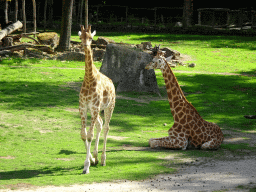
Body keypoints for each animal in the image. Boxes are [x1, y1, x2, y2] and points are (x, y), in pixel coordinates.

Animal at [77, 25, 115, 174]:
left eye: (91, 38)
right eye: (80, 37)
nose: (85, 46)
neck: (89, 79)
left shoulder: (93, 108)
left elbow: (89, 135)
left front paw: (86, 166)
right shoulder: (83, 107)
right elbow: (84, 135)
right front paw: (91, 160)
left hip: (109, 107)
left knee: (106, 127)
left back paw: (103, 159)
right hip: (99, 110)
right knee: (100, 124)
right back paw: (96, 156)